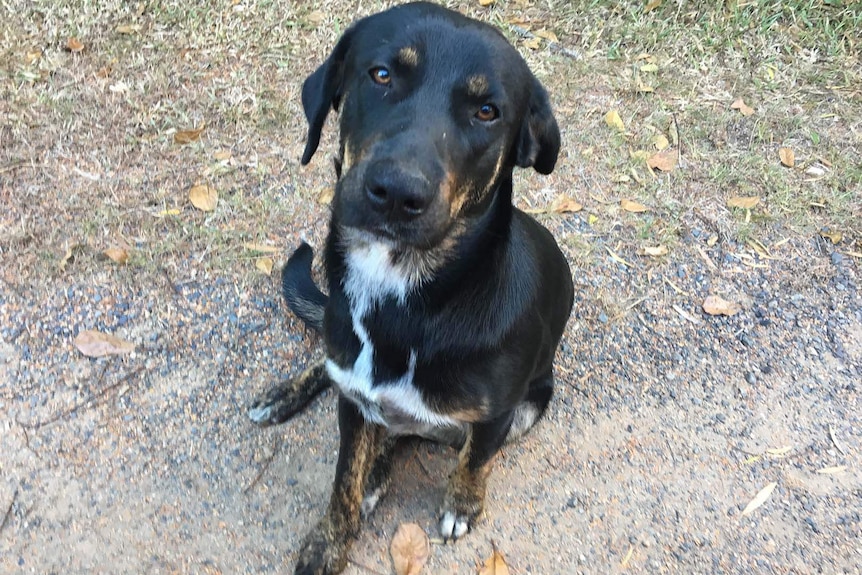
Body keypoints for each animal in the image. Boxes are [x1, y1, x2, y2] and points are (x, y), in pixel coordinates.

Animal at [248, 2, 572, 572]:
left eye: (487, 111)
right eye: (381, 75)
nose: (397, 193)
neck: (403, 298)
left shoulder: (500, 415)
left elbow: (475, 460)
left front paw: (463, 504)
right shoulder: (353, 402)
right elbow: (342, 482)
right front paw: (329, 541)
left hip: (533, 402)